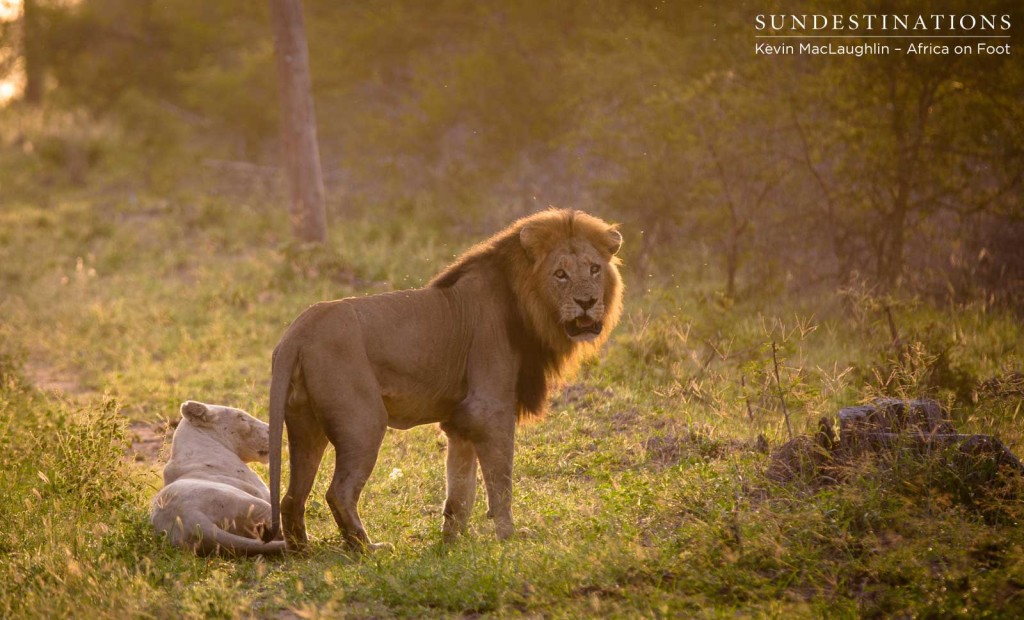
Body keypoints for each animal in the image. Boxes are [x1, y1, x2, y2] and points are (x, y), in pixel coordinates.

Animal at [264, 209, 622, 549]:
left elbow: (462, 488)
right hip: (362, 421)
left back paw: (302, 550)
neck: (528, 306)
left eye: (594, 269)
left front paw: (453, 540)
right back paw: (368, 548)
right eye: (560, 274)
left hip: (305, 425)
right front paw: (509, 535)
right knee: (338, 492)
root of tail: (299, 330)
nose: (587, 302)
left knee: (293, 496)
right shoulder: (489, 409)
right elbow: (500, 482)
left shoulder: (461, 420)